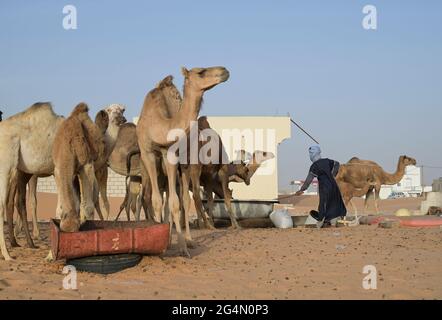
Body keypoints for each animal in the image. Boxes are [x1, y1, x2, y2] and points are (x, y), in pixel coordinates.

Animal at [136, 66, 230, 256]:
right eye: (201, 72)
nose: (224, 70)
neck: (159, 125)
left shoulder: (173, 155)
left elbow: (176, 202)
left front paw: (183, 247)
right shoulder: (148, 154)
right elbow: (157, 200)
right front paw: (162, 245)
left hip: (185, 163)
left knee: (183, 199)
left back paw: (186, 240)